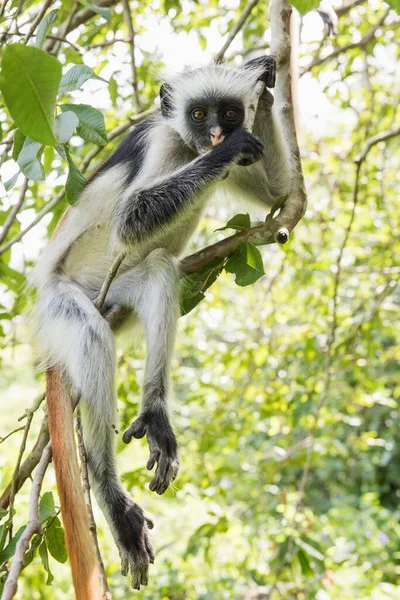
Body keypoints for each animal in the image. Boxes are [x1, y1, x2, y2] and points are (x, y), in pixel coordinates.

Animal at [28, 56, 290, 596]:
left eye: (230, 111)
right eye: (199, 114)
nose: (217, 133)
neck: (190, 149)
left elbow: (279, 194)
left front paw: (264, 78)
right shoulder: (165, 143)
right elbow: (130, 220)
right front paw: (228, 149)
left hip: (119, 293)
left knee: (160, 272)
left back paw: (155, 415)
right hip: (63, 295)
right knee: (91, 334)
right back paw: (110, 494)